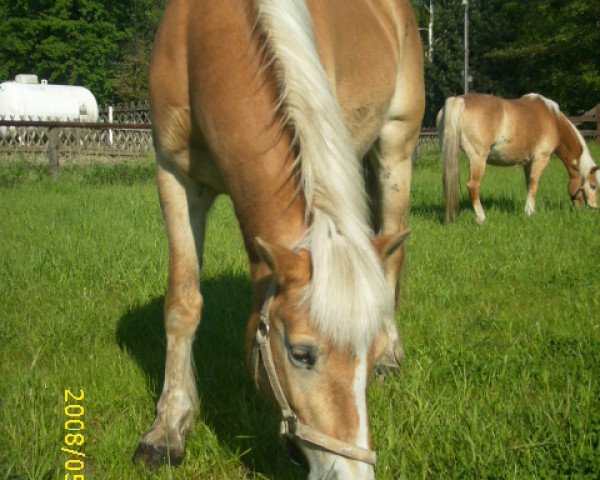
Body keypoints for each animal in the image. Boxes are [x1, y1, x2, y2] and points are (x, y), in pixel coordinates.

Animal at [137, 1, 426, 478]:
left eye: (364, 357)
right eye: (300, 353)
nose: (352, 473)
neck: (206, 37)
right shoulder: (174, 176)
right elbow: (182, 303)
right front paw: (167, 429)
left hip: (395, 148)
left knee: (392, 255)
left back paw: (393, 354)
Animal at [438, 93, 596, 224]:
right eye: (594, 185)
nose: (592, 209)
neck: (553, 120)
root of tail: (459, 100)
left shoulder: (527, 164)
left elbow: (528, 185)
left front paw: (529, 209)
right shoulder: (541, 159)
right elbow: (534, 184)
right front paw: (529, 213)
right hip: (478, 158)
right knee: (473, 186)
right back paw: (481, 218)